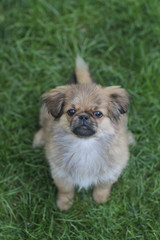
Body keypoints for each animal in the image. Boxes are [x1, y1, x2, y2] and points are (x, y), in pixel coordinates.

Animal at [32, 56, 134, 210]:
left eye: (98, 114)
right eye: (71, 111)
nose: (84, 117)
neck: (84, 144)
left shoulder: (111, 171)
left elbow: (103, 186)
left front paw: (100, 199)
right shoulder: (61, 174)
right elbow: (66, 190)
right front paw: (64, 204)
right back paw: (38, 139)